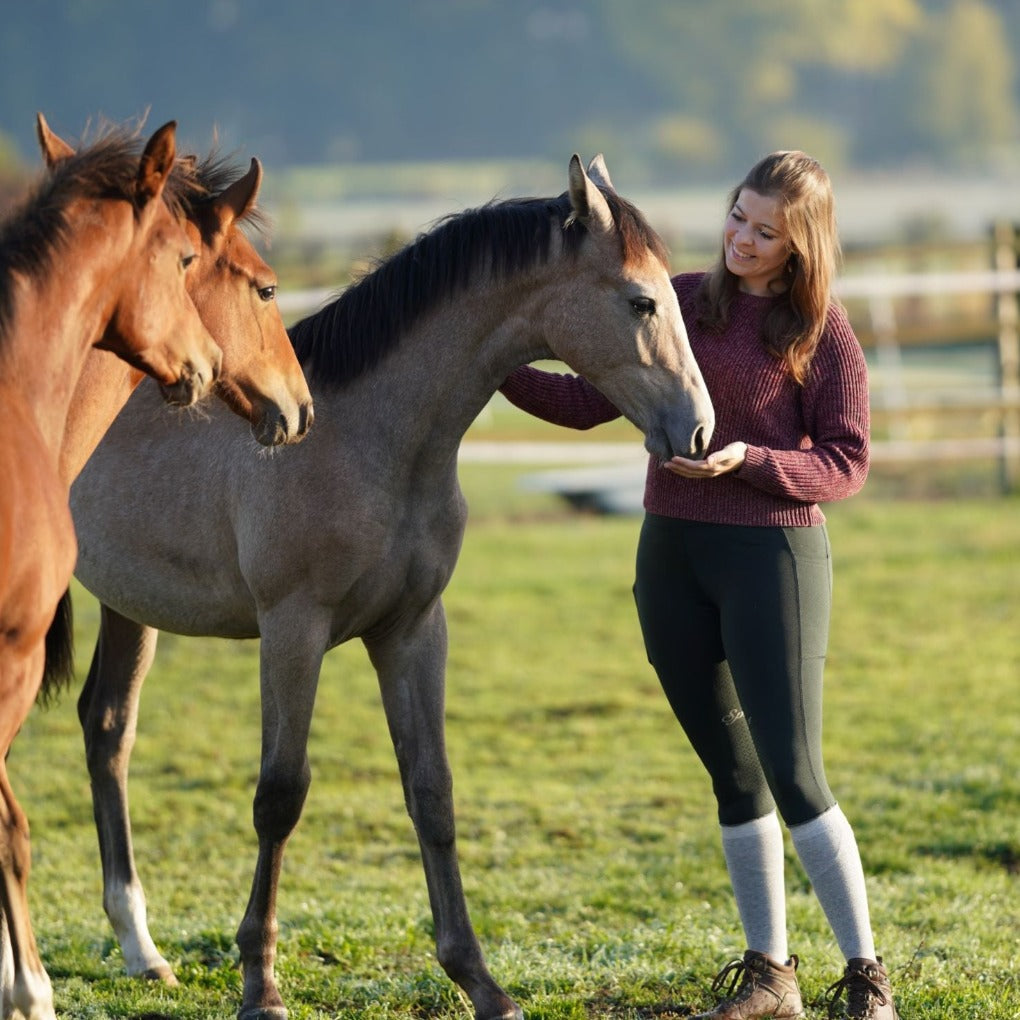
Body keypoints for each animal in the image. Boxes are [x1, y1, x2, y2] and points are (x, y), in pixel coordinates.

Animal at [71, 153, 718, 1020]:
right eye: (641, 300)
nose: (699, 431)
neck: (366, 436)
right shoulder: (293, 631)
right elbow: (280, 796)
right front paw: (261, 983)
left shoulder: (412, 630)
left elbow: (431, 791)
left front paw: (480, 982)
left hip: (127, 604)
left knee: (108, 729)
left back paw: (141, 950)